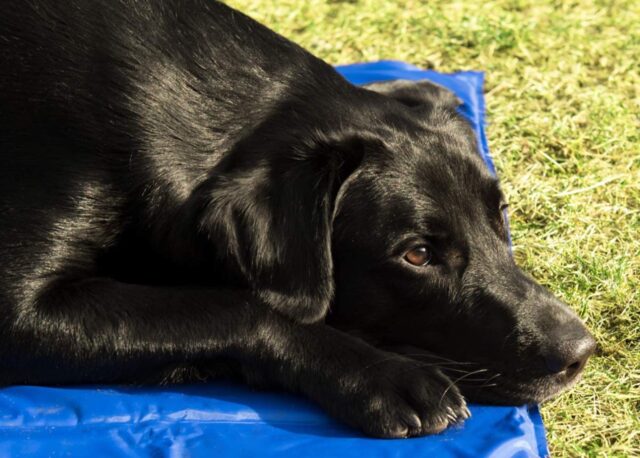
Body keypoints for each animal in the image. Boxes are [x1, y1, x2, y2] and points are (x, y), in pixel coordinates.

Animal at [0, 0, 596, 436]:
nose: (581, 353)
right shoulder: (18, 312)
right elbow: (239, 307)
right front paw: (384, 376)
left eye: (501, 216)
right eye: (417, 255)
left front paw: (411, 86)